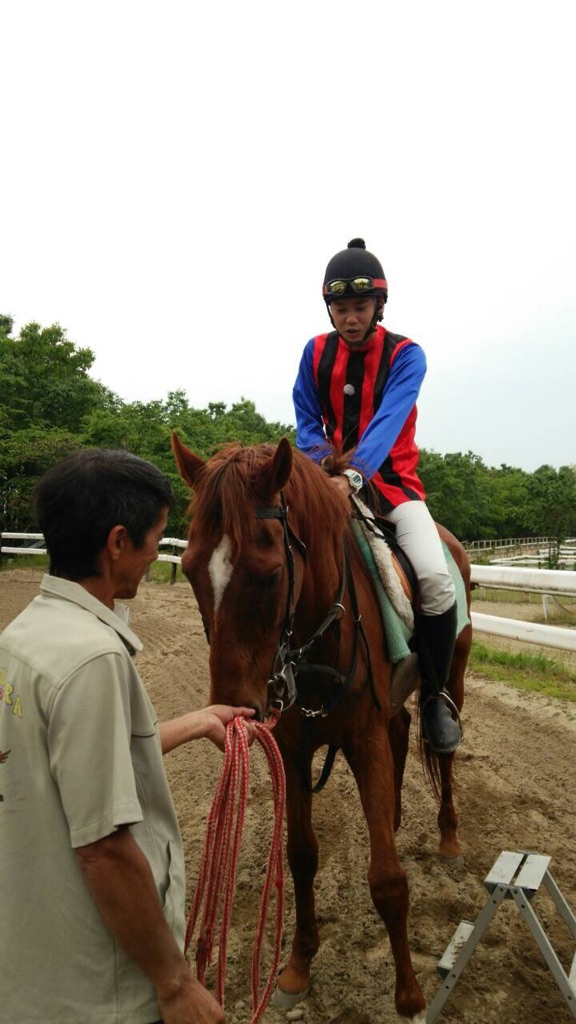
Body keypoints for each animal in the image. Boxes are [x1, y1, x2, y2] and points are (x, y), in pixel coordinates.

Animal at [171, 434, 471, 1024]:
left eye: (269, 575)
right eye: (191, 569)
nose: (235, 710)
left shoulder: (363, 739)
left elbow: (388, 880)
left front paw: (409, 996)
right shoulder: (292, 748)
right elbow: (301, 855)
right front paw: (297, 966)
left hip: (452, 674)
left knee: (441, 744)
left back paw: (448, 835)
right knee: (402, 729)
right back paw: (394, 815)